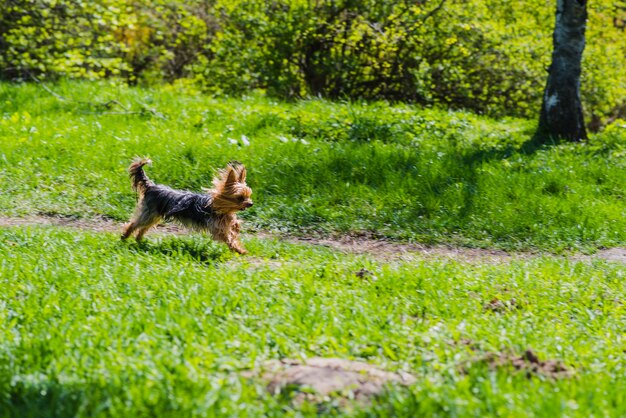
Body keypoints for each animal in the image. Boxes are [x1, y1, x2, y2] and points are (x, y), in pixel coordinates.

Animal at [120, 158, 252, 253]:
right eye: (240, 198)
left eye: (249, 196)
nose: (251, 203)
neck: (218, 207)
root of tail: (151, 186)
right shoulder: (217, 228)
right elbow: (228, 238)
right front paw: (239, 250)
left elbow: (233, 225)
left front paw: (236, 226)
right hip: (149, 213)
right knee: (134, 224)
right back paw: (124, 236)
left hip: (154, 216)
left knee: (143, 228)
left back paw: (138, 240)